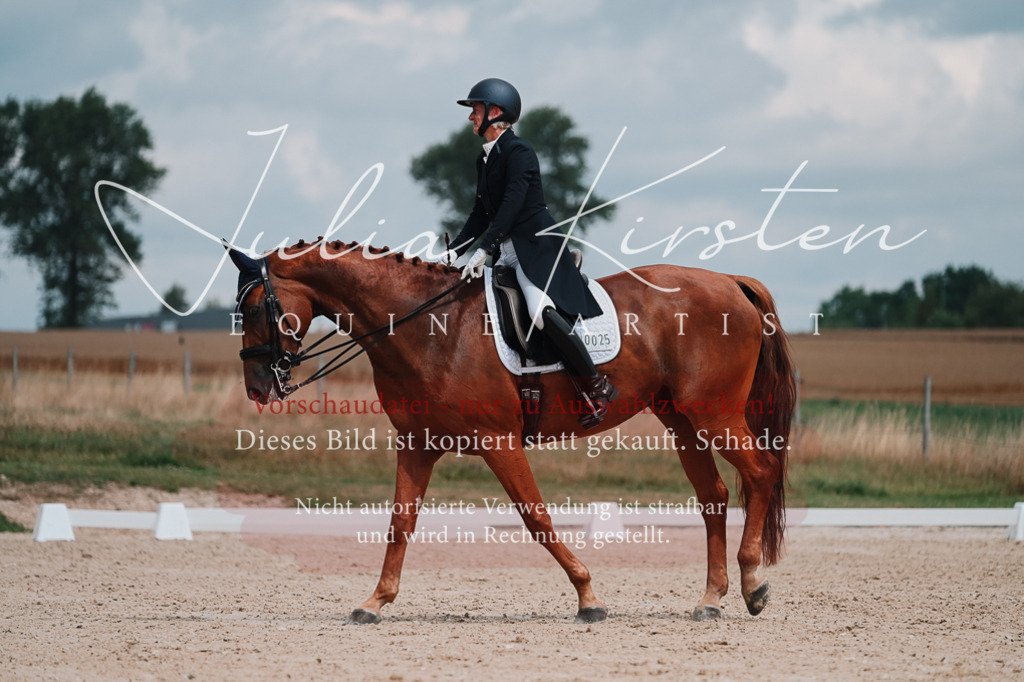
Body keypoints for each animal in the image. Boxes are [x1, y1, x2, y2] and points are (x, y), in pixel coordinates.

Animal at [228, 238, 796, 624]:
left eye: (256, 308)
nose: (258, 388)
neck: (426, 328)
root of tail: (730, 281)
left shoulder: (497, 442)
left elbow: (536, 518)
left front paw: (589, 598)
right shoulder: (418, 445)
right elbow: (400, 523)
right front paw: (375, 601)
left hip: (714, 414)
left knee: (761, 471)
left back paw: (753, 583)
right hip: (680, 418)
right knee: (714, 495)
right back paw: (711, 599)